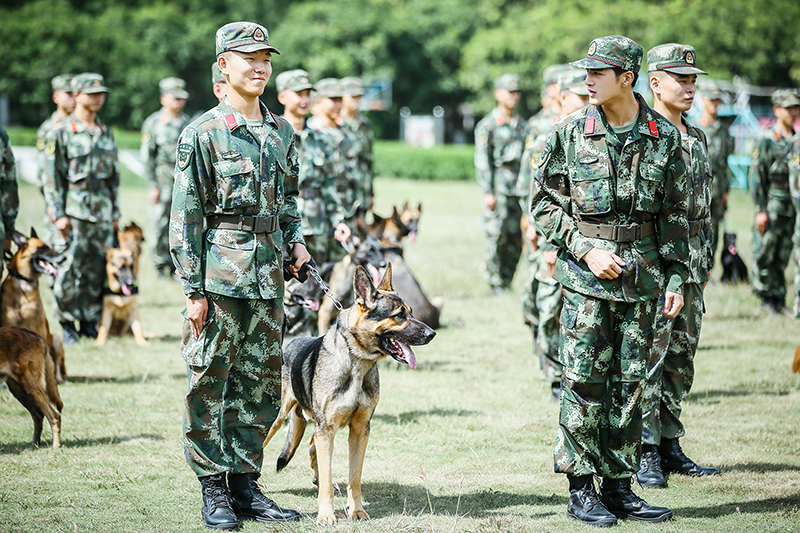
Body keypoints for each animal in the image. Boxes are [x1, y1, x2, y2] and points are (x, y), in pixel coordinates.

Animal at [0, 229, 66, 382]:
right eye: (43, 248)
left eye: (50, 246)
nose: (63, 257)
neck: (23, 284)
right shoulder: (7, 323)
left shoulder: (38, 327)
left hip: (56, 339)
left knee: (57, 364)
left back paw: (59, 378)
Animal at [264, 264, 434, 520]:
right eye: (399, 315)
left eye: (411, 312)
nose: (432, 333)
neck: (357, 363)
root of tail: (288, 345)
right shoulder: (328, 429)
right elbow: (328, 477)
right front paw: (326, 516)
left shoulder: (360, 430)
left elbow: (355, 477)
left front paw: (357, 511)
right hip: (276, 419)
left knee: (312, 445)